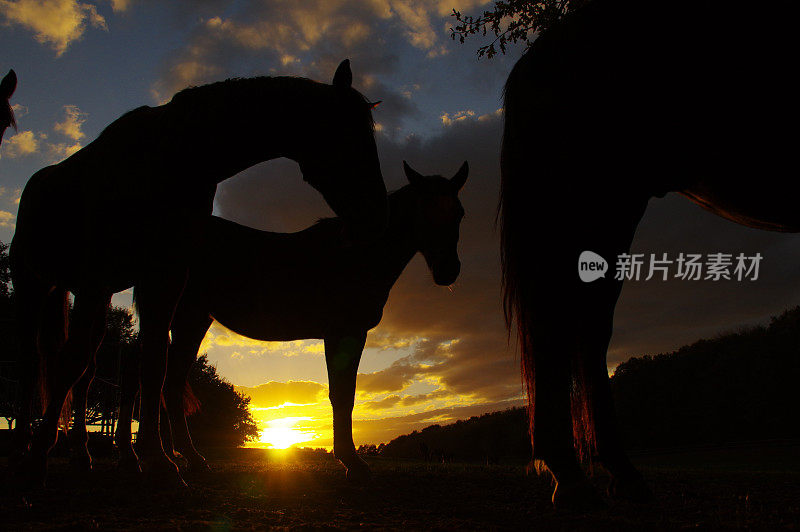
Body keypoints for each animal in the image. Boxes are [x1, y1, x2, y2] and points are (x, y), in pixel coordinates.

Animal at [10, 59, 390, 486]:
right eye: (349, 135)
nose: (376, 217)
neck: (172, 158)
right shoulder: (97, 275)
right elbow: (71, 363)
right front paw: (38, 458)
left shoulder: (164, 276)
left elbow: (154, 367)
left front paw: (158, 461)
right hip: (35, 283)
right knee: (33, 362)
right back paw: (24, 448)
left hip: (100, 294)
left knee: (88, 371)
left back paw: (81, 456)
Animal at [109, 160, 466, 480]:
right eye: (422, 210)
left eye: (459, 213)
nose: (448, 270)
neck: (356, 256)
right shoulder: (344, 333)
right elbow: (342, 395)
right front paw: (352, 463)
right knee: (144, 372)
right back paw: (143, 458)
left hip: (190, 317)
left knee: (164, 378)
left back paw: (173, 458)